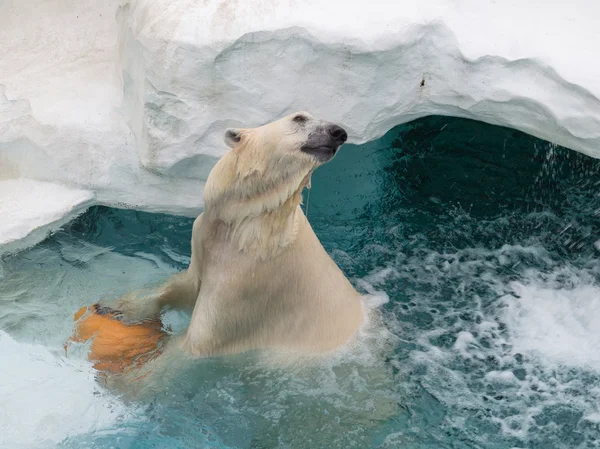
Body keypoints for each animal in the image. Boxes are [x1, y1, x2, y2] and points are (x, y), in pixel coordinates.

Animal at [107, 112, 360, 360]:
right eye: (300, 118)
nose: (338, 132)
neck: (251, 224)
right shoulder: (206, 243)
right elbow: (186, 286)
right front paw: (123, 307)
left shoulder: (249, 285)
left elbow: (197, 343)